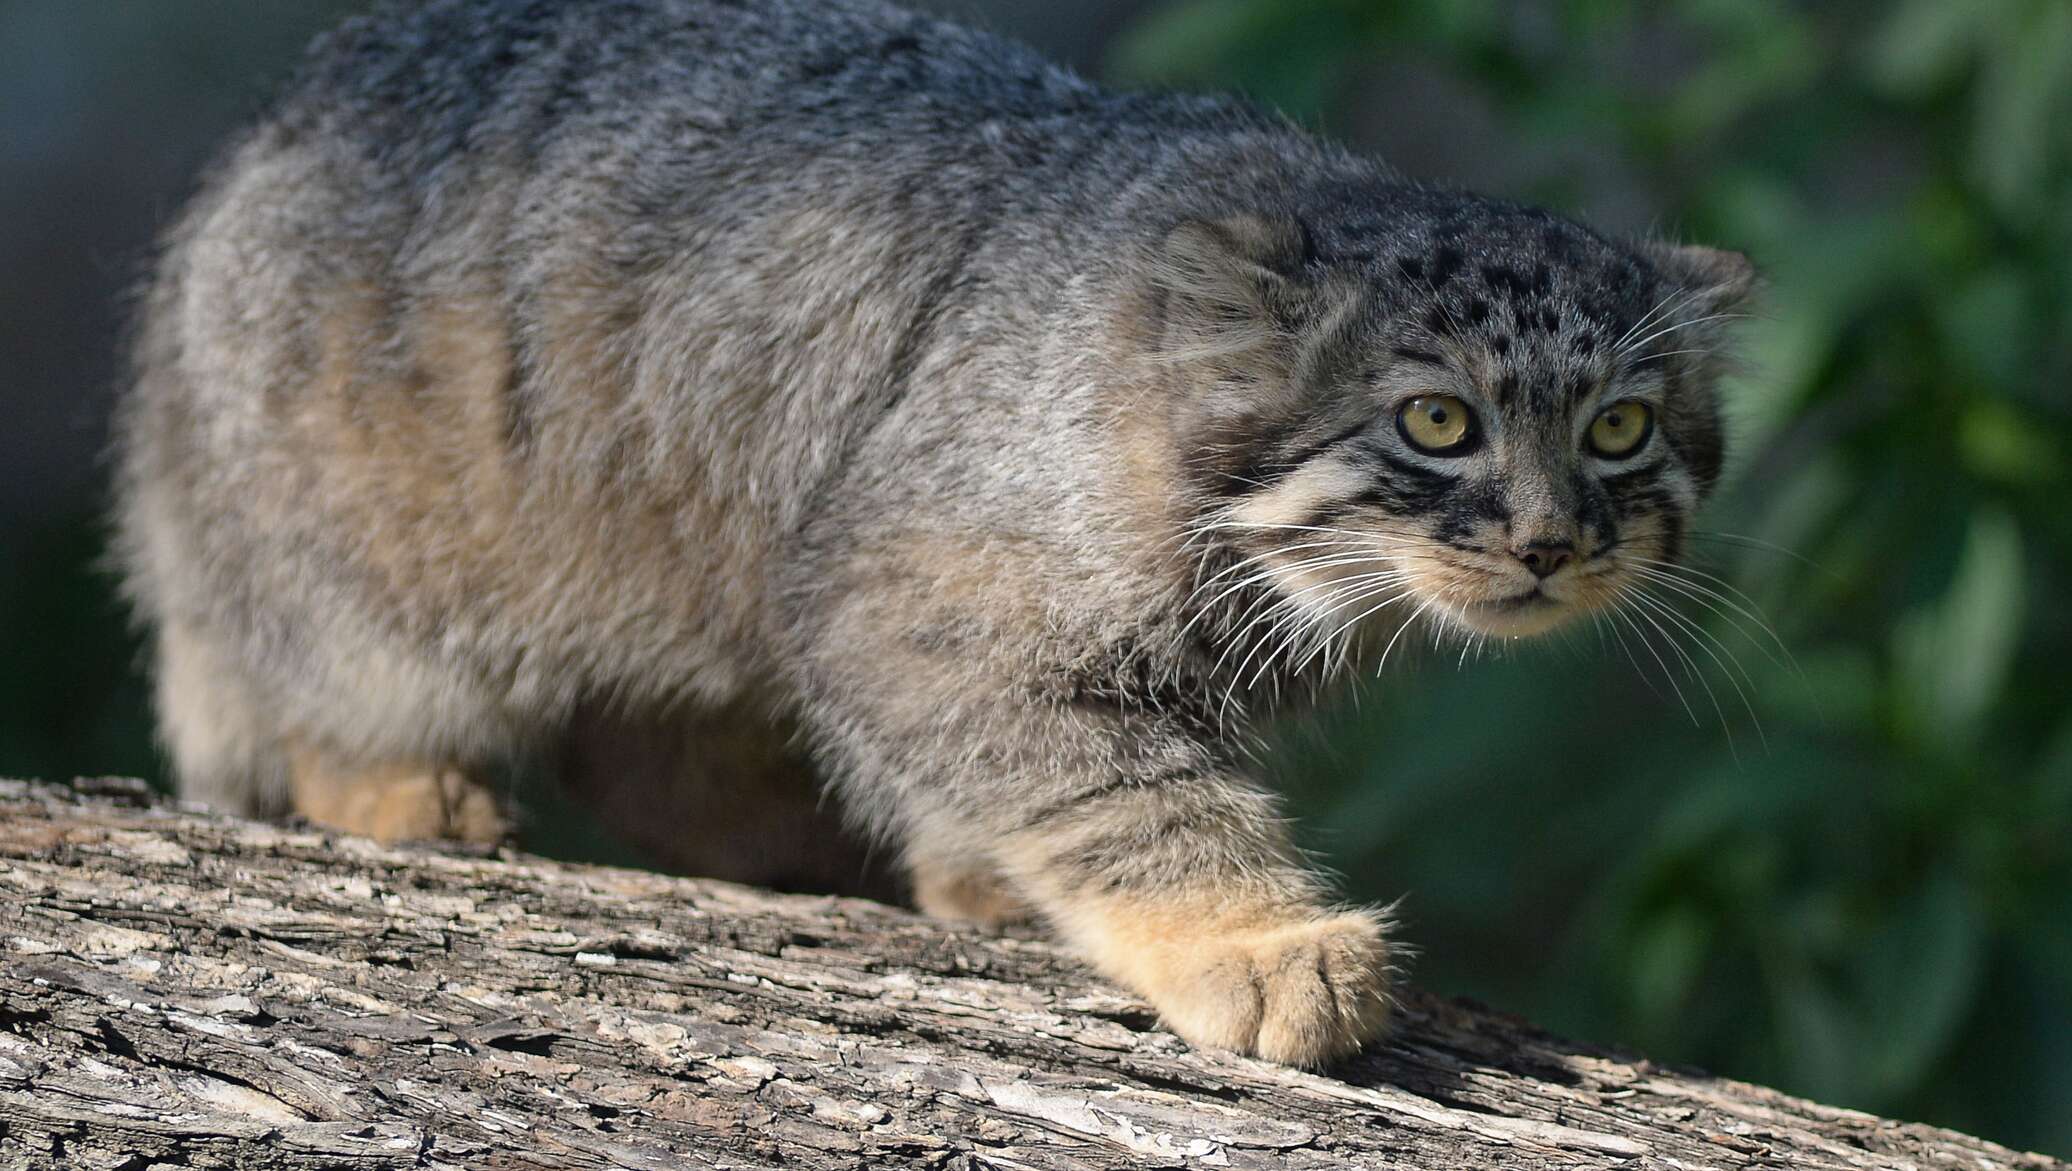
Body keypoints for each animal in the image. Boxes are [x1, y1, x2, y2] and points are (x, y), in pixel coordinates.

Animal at [117, 0, 1748, 1061]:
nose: (1550, 541)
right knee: (323, 672)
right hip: (360, 532)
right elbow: (1122, 785)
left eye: (1618, 432)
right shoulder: (896, 597)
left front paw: (983, 875)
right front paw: (1248, 938)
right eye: (1437, 424)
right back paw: (398, 780)